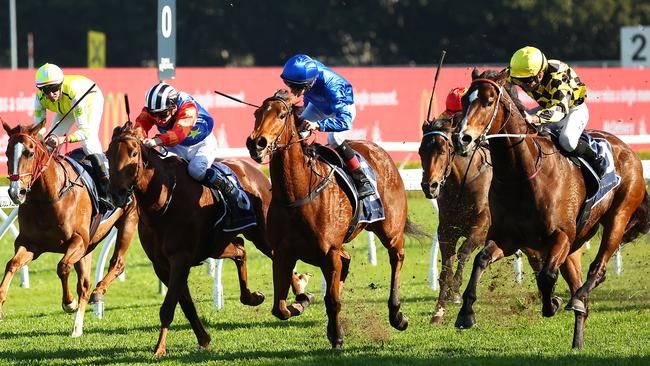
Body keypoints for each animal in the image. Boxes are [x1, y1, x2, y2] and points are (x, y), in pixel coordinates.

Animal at [0, 121, 138, 338]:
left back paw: (98, 293)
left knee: (117, 264)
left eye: (29, 153)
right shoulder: (30, 244)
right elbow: (11, 264)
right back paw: (77, 327)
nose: (16, 192)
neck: (48, 196)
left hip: (128, 221)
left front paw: (69, 303)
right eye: (6, 151)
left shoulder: (78, 240)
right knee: (85, 285)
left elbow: (62, 267)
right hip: (88, 248)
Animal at [107, 121, 306, 356]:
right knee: (241, 249)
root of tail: (256, 173)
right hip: (217, 245)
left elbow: (168, 307)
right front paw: (203, 338)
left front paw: (159, 348)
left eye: (133, 153)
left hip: (262, 235)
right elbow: (185, 305)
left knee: (279, 256)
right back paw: (253, 296)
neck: (162, 202)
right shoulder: (162, 265)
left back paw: (298, 295)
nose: (116, 194)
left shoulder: (180, 259)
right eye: (108, 154)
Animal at [246, 90, 422, 348]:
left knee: (396, 257)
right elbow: (280, 308)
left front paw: (337, 336)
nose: (256, 143)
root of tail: (380, 152)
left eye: (281, 115)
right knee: (346, 261)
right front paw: (302, 302)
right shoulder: (283, 253)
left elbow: (332, 300)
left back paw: (397, 314)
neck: (297, 194)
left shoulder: (329, 253)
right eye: (257, 113)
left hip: (390, 230)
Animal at [450, 69, 648, 348]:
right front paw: (465, 314)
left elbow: (545, 277)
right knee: (579, 290)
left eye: (488, 101)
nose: (462, 138)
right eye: (464, 99)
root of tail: (629, 151)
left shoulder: (561, 235)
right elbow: (481, 260)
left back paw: (578, 297)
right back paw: (577, 340)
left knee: (598, 269)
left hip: (618, 217)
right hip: (576, 244)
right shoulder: (507, 238)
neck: (522, 175)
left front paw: (552, 303)